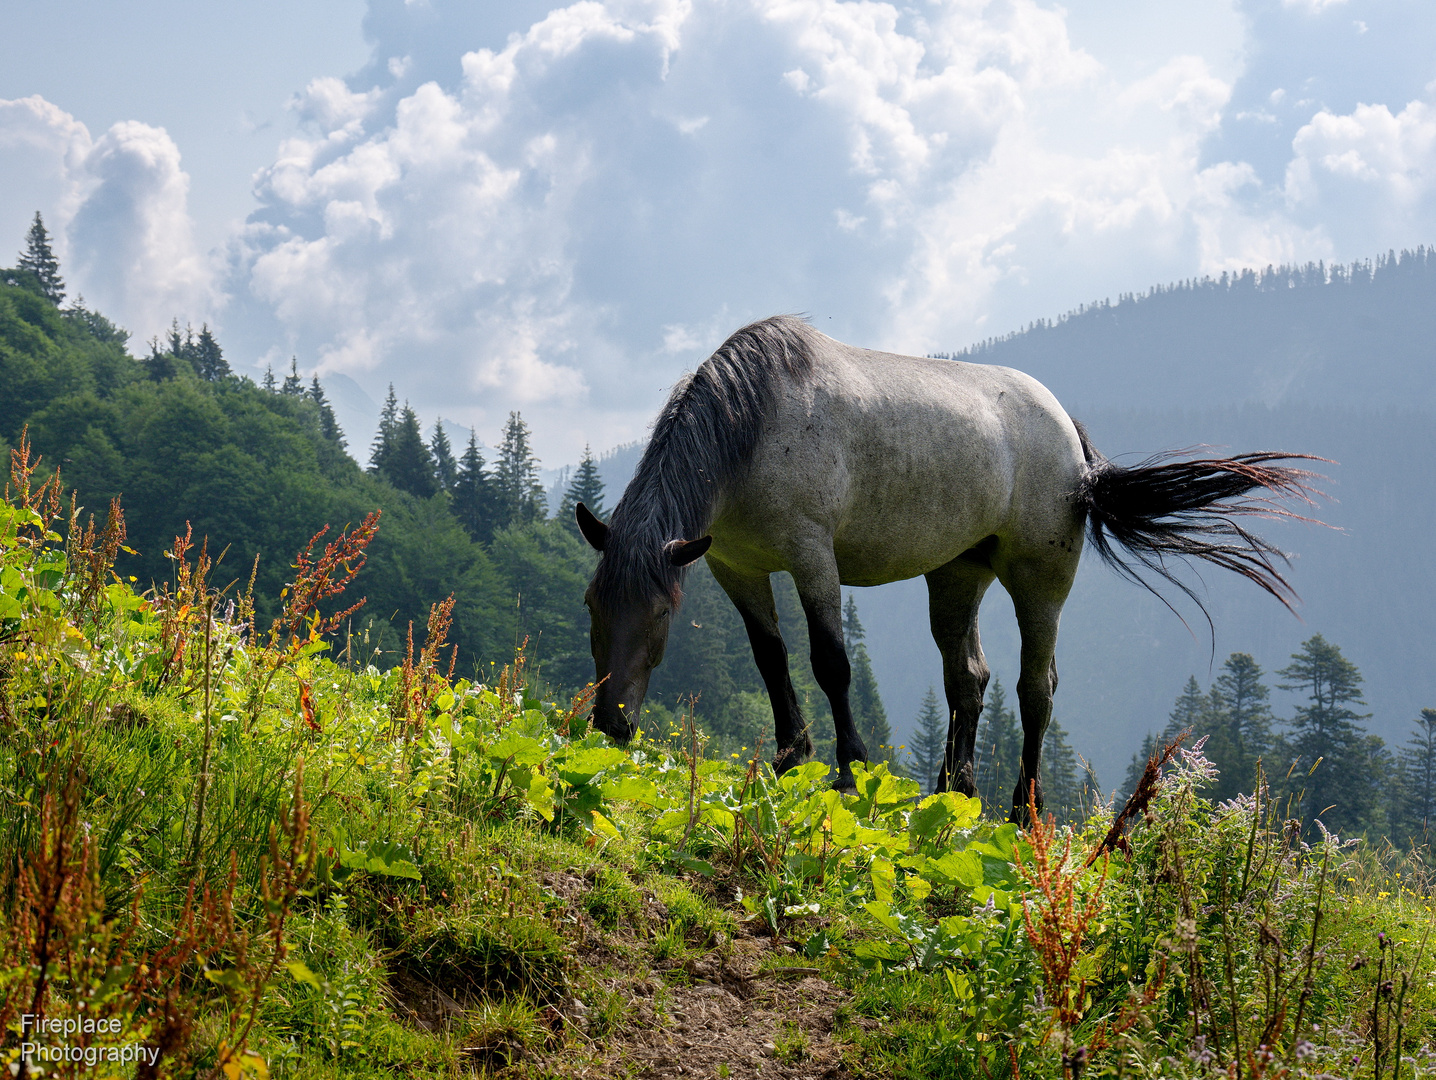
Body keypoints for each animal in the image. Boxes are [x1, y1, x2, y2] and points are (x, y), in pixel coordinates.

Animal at [577, 315, 1315, 821]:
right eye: (592, 605)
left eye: (660, 611)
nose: (610, 721)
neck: (753, 425)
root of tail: (1070, 437)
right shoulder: (738, 567)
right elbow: (771, 657)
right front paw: (790, 760)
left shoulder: (812, 556)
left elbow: (830, 661)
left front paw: (850, 770)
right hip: (957, 574)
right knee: (969, 679)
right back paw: (953, 791)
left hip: (1039, 579)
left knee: (1035, 688)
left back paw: (1021, 811)